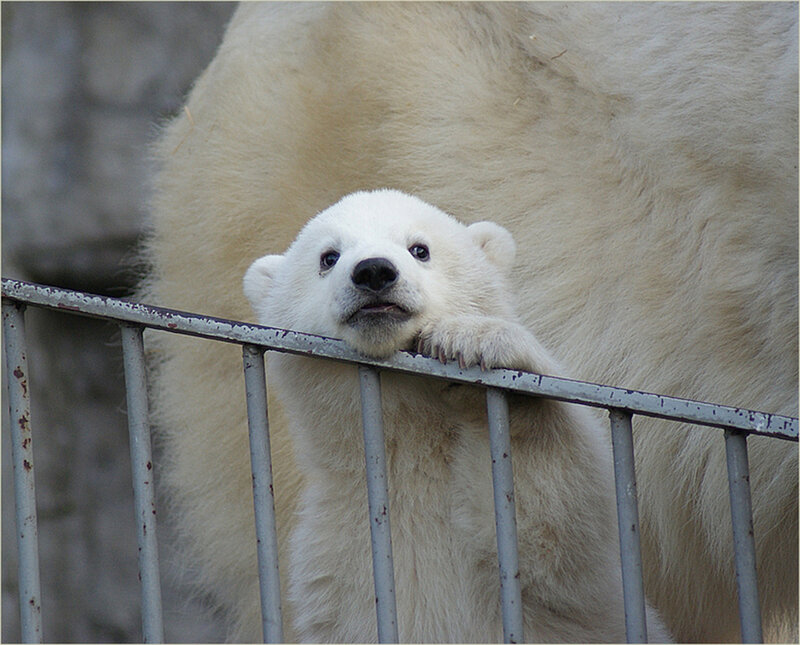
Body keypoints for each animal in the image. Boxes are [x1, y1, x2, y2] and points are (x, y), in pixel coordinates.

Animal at [241, 189, 672, 643]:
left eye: (420, 249)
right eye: (328, 256)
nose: (374, 271)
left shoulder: (574, 590)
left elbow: (551, 511)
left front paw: (473, 342)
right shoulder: (334, 566)